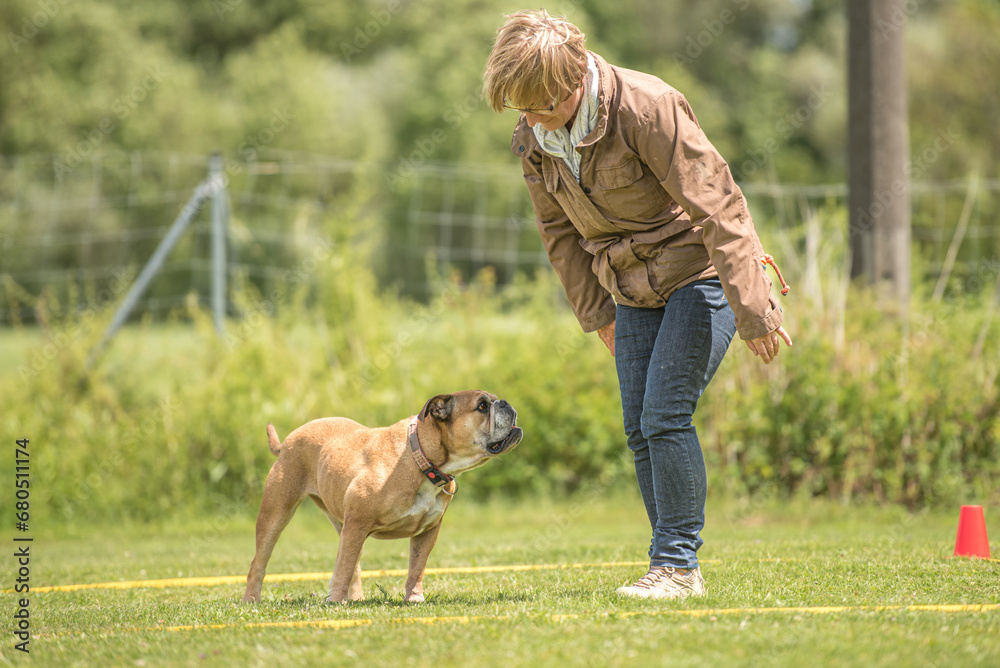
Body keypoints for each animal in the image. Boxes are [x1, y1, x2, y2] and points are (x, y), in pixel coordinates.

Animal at [242, 388, 524, 604]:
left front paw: (414, 598)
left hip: (343, 524)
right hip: (277, 513)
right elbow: (343, 567)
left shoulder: (426, 532)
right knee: (260, 562)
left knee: (352, 563)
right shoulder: (358, 523)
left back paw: (354, 598)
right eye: (482, 406)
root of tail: (288, 440)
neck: (422, 459)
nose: (506, 403)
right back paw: (252, 600)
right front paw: (333, 601)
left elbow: (416, 567)